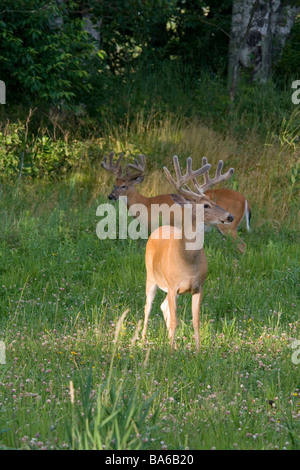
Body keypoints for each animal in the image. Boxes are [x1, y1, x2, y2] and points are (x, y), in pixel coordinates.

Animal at [102, 152, 250, 252]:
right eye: (114, 184)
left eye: (124, 186)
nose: (111, 196)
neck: (146, 204)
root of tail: (246, 200)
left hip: (228, 227)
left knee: (243, 245)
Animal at [142, 156, 236, 350]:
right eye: (206, 205)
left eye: (214, 201)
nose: (229, 216)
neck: (187, 262)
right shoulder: (172, 286)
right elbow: (175, 321)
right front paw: (170, 353)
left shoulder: (198, 286)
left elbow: (196, 321)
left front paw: (198, 351)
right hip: (151, 277)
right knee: (148, 308)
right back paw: (141, 340)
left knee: (163, 307)